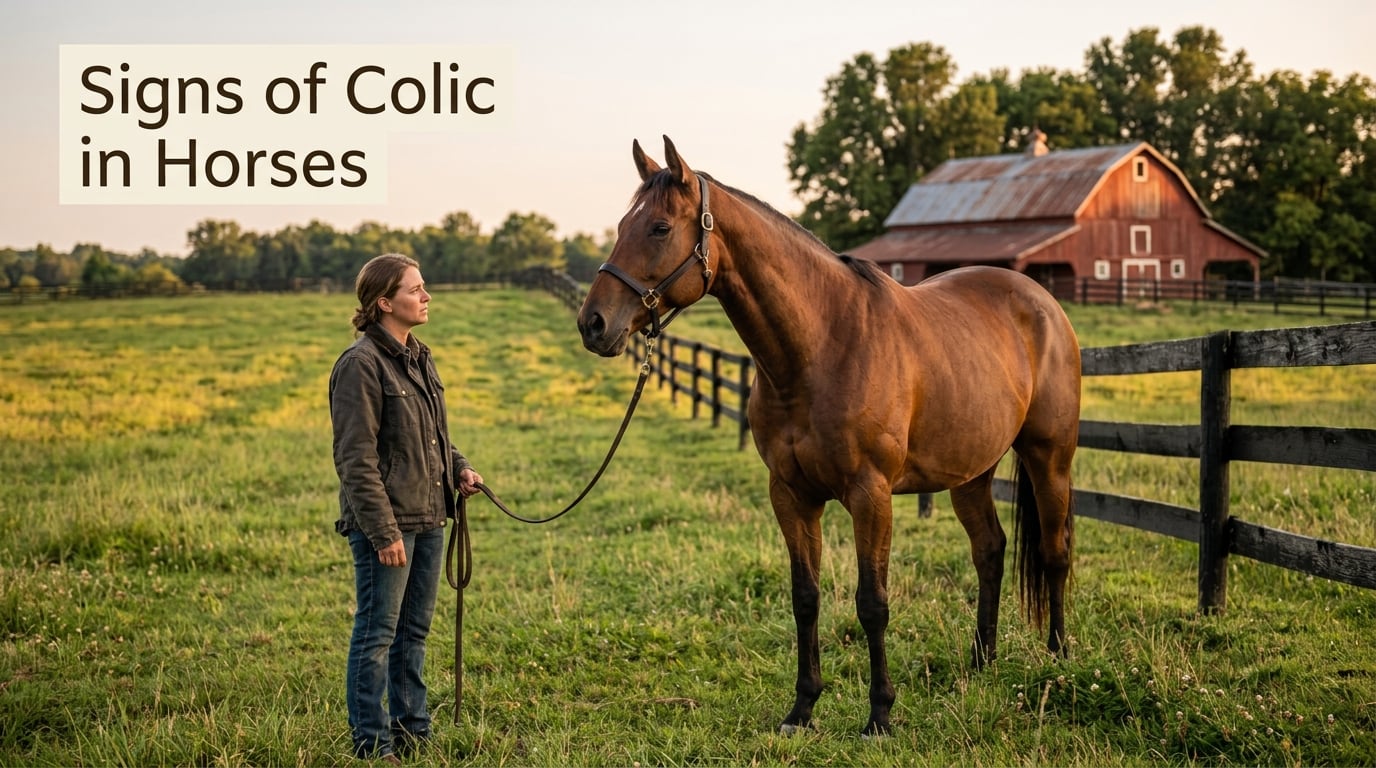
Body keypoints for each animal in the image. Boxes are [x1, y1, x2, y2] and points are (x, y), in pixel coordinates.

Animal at [577, 136, 1081, 736]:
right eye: (622, 225)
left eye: (657, 228)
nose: (593, 324)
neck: (822, 347)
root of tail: (1040, 300)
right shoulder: (791, 495)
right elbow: (805, 598)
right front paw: (802, 708)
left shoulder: (871, 495)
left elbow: (872, 602)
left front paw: (880, 714)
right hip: (970, 473)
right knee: (990, 550)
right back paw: (982, 660)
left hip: (1049, 458)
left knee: (1053, 552)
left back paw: (1058, 658)